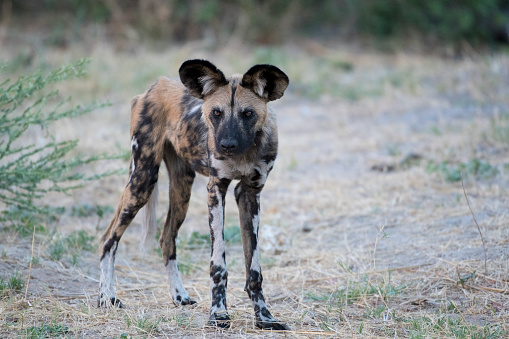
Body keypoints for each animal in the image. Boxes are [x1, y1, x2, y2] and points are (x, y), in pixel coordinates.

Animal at [98, 59, 290, 330]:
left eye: (248, 114)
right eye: (216, 113)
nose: (226, 145)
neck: (243, 153)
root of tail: (153, 87)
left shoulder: (249, 193)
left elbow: (254, 269)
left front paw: (264, 317)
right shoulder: (216, 189)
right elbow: (218, 265)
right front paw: (219, 315)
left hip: (181, 190)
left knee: (166, 240)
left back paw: (179, 296)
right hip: (142, 181)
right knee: (108, 239)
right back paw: (107, 297)